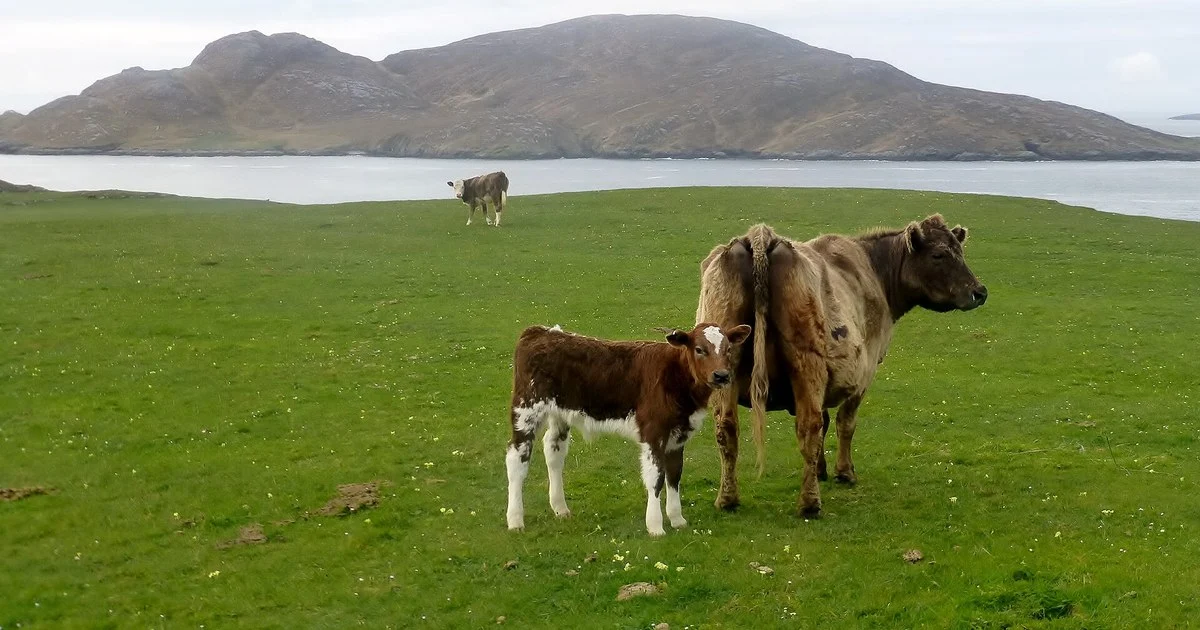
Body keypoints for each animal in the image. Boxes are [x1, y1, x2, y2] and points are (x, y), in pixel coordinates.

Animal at [505, 322, 752, 536]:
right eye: (699, 349)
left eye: (729, 349)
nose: (721, 375)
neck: (674, 376)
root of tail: (540, 331)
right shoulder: (653, 431)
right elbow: (656, 477)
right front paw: (655, 526)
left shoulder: (678, 434)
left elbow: (674, 474)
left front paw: (677, 519)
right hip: (526, 409)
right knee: (517, 459)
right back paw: (515, 520)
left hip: (560, 413)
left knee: (554, 452)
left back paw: (560, 508)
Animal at [695, 214, 987, 516]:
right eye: (938, 254)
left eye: (960, 251)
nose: (979, 292)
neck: (874, 270)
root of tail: (764, 238)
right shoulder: (863, 373)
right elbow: (844, 423)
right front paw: (844, 472)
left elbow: (825, 421)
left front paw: (821, 470)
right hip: (806, 363)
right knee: (808, 427)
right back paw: (810, 503)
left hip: (725, 368)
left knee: (727, 429)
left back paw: (728, 499)